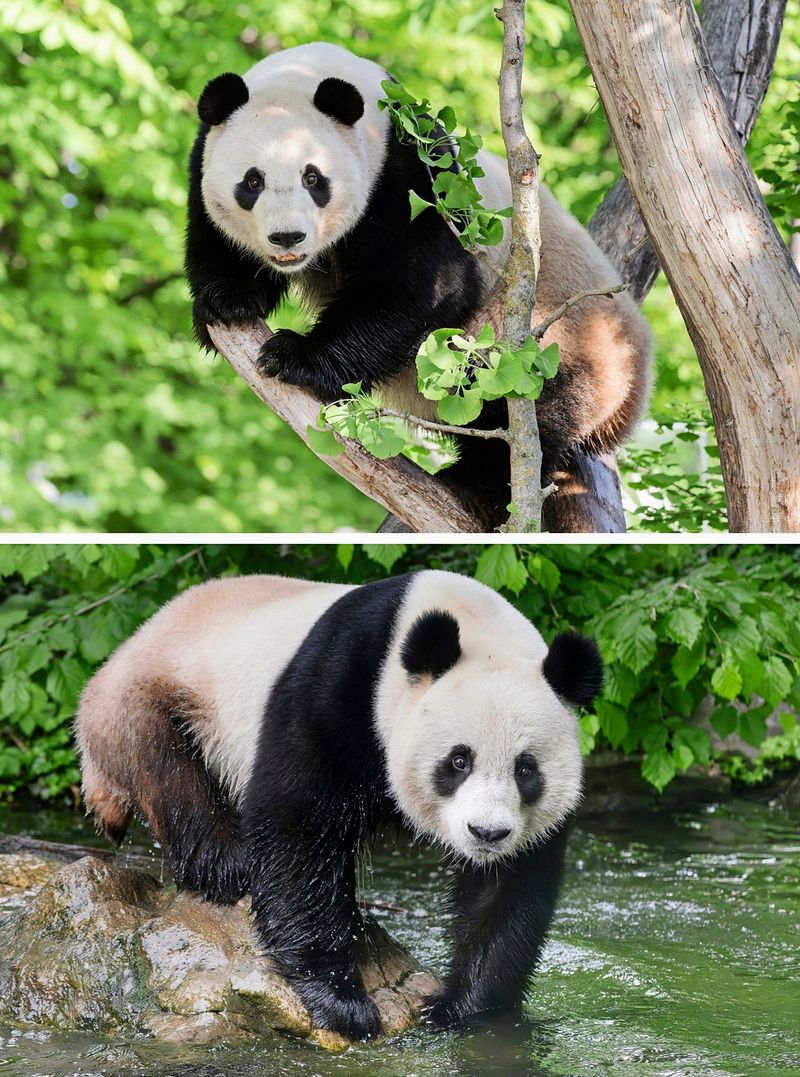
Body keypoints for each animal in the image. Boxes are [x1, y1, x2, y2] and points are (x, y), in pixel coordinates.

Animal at [76, 570, 601, 1041]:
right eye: (458, 760)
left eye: (526, 769)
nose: (487, 834)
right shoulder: (341, 681)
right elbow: (299, 822)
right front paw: (343, 1003)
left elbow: (510, 888)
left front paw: (460, 1009)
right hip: (164, 696)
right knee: (170, 774)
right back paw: (227, 866)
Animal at [186, 41, 651, 525]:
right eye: (252, 181)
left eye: (313, 178)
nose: (287, 237)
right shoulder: (204, 155)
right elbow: (215, 240)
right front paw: (228, 302)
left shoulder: (415, 172)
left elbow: (422, 285)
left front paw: (293, 356)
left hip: (556, 337)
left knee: (523, 407)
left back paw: (478, 486)